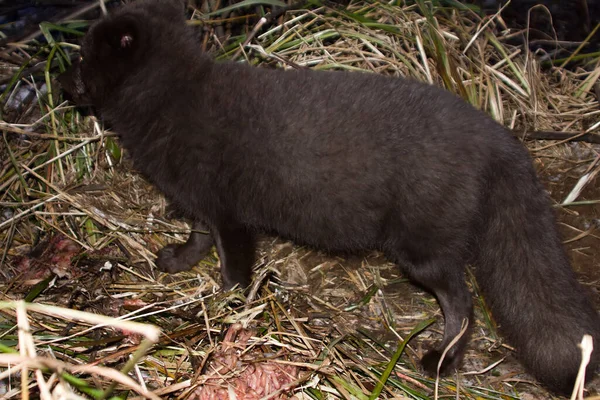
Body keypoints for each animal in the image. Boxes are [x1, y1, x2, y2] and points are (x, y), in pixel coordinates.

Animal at [59, 0, 600, 394]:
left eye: (81, 56)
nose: (61, 84)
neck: (173, 100)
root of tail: (497, 135)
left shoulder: (231, 214)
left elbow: (233, 266)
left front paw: (226, 305)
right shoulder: (199, 199)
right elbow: (197, 236)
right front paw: (176, 262)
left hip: (422, 248)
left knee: (462, 304)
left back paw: (439, 361)